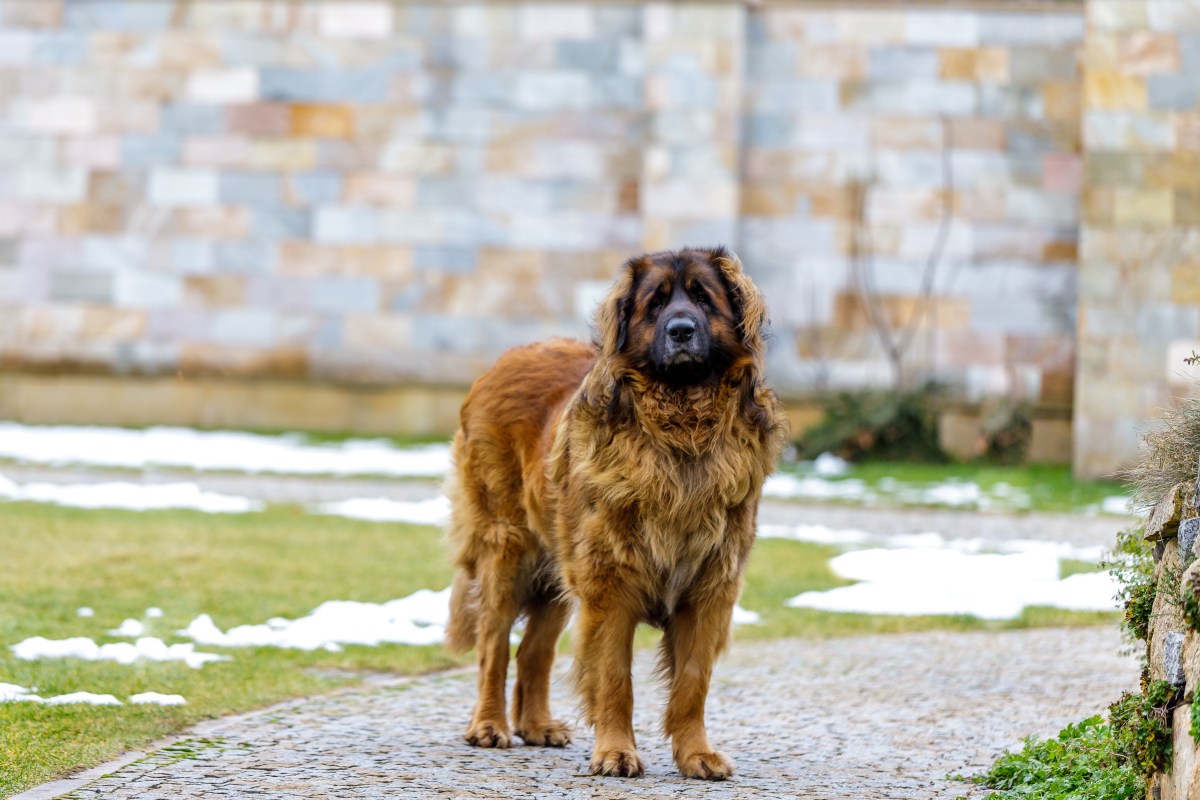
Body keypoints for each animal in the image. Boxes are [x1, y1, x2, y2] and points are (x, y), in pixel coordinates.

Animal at [446, 247, 782, 777]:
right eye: (655, 303)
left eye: (703, 299)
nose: (680, 330)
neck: (681, 427)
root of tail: (508, 357)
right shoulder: (610, 583)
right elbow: (613, 679)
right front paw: (616, 752)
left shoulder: (710, 588)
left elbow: (692, 682)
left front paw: (696, 754)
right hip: (507, 549)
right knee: (493, 644)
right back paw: (489, 725)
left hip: (557, 567)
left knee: (533, 650)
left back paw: (537, 726)